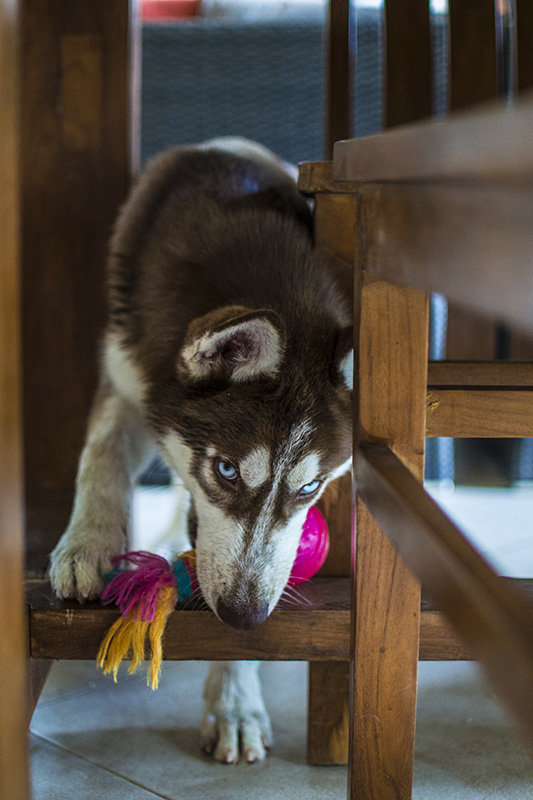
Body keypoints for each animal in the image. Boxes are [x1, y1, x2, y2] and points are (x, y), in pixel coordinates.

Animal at [48, 138, 350, 764]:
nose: (245, 614)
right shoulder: (130, 375)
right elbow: (100, 456)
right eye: (227, 470)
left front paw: (234, 701)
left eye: (310, 487)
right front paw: (87, 544)